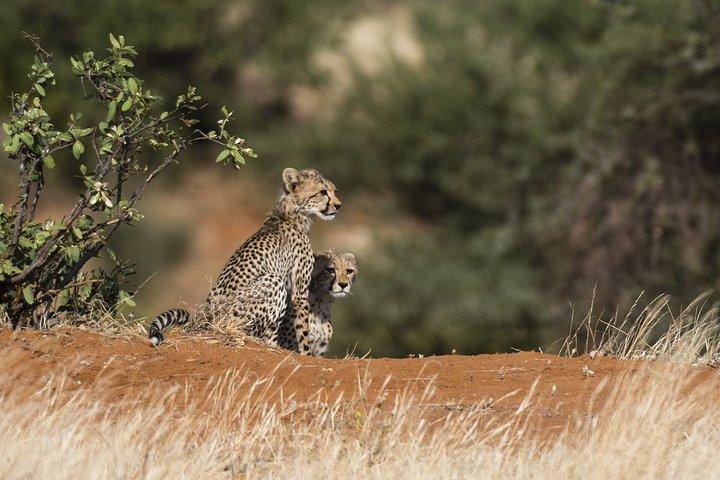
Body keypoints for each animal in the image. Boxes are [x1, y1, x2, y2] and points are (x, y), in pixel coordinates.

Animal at [148, 167, 342, 355]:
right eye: (323, 192)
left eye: (334, 191)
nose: (338, 206)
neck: (293, 213)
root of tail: (207, 318)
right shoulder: (300, 292)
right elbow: (303, 331)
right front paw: (306, 355)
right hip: (272, 283)